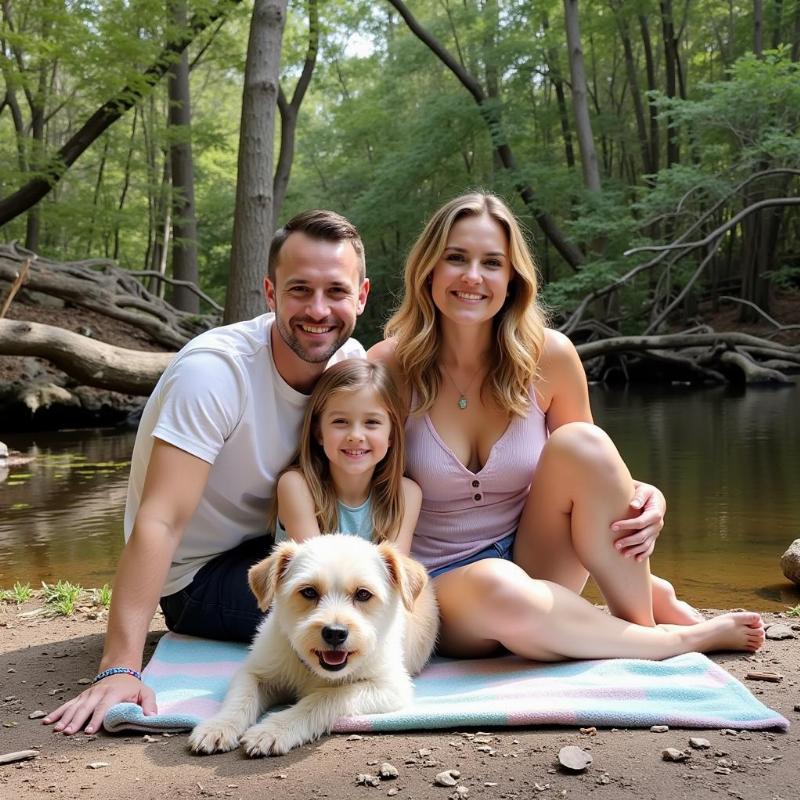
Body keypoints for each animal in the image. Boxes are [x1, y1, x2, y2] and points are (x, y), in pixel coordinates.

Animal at [187, 532, 438, 756]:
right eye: (308, 592)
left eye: (363, 594)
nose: (335, 633)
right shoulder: (255, 671)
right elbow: (241, 697)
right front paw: (219, 726)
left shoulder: (390, 687)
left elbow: (324, 697)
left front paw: (274, 729)